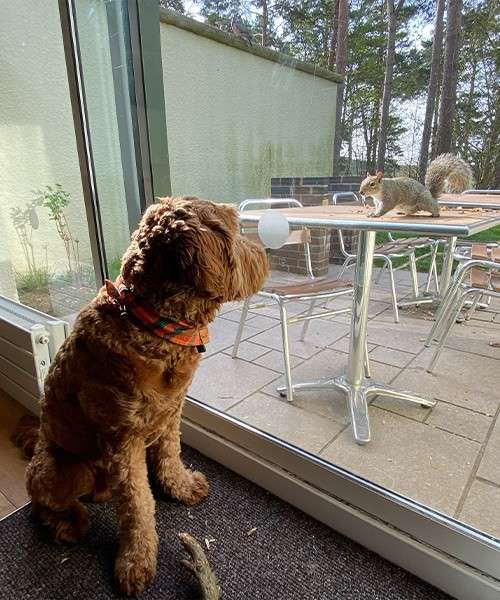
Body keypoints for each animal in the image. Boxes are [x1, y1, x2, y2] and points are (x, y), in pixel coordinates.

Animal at [19, 196, 268, 596]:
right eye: (233, 227)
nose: (264, 252)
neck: (151, 323)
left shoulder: (170, 415)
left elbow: (170, 458)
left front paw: (180, 487)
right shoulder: (123, 441)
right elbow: (138, 505)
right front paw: (135, 561)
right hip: (62, 469)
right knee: (41, 503)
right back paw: (68, 522)